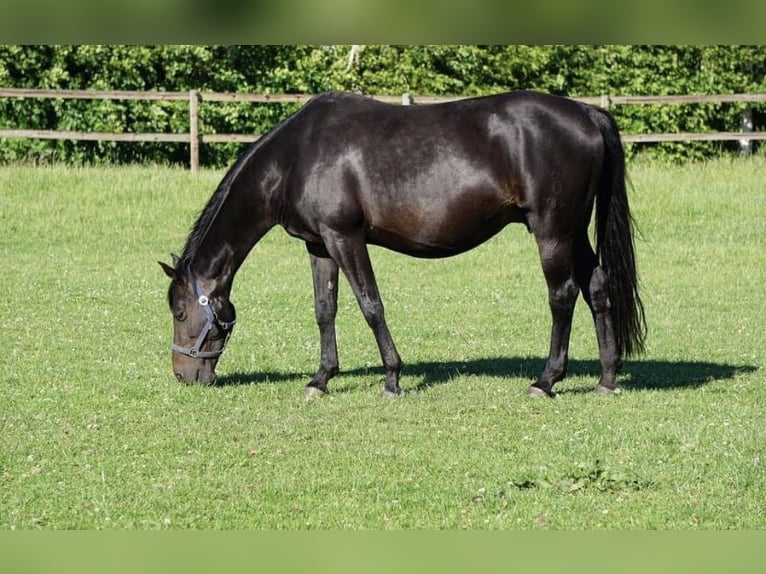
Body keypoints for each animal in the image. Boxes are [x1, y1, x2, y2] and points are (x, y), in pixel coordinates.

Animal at [160, 90, 648, 398]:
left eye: (180, 312)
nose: (183, 375)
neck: (296, 157)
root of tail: (587, 113)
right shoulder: (319, 246)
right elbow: (325, 310)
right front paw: (321, 380)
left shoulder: (345, 238)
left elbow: (371, 305)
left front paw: (392, 379)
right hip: (575, 231)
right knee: (597, 288)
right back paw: (606, 380)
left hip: (552, 231)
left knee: (562, 296)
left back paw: (546, 381)